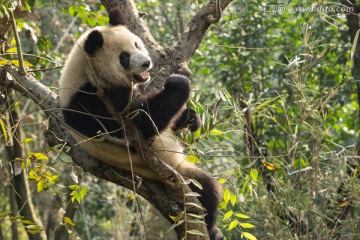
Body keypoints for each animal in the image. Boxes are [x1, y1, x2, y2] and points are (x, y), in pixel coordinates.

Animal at [59, 8, 222, 239]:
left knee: (207, 190)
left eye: (137, 44)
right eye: (124, 57)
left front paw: (191, 118)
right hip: (173, 173)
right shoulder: (91, 102)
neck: (86, 71)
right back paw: (209, 227)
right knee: (205, 192)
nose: (146, 63)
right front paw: (178, 82)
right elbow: (143, 123)